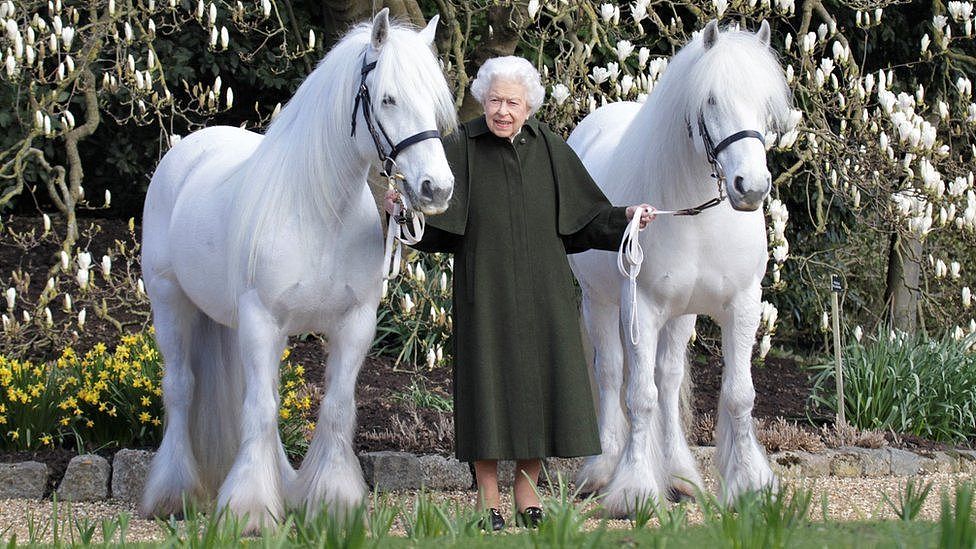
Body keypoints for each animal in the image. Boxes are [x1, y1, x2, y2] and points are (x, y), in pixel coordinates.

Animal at [141, 10, 458, 528]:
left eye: (434, 103)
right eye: (388, 98)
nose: (437, 188)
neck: (318, 213)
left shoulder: (354, 324)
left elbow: (335, 407)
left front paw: (333, 501)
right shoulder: (262, 321)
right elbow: (261, 409)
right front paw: (249, 509)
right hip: (171, 303)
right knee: (182, 389)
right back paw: (174, 493)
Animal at [572, 21, 792, 516]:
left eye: (765, 102)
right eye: (710, 100)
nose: (751, 187)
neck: (698, 215)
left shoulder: (742, 304)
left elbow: (737, 394)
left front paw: (750, 484)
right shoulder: (642, 307)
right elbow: (639, 397)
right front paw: (633, 489)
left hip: (682, 314)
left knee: (668, 380)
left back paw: (679, 475)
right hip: (600, 302)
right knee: (612, 373)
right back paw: (602, 469)